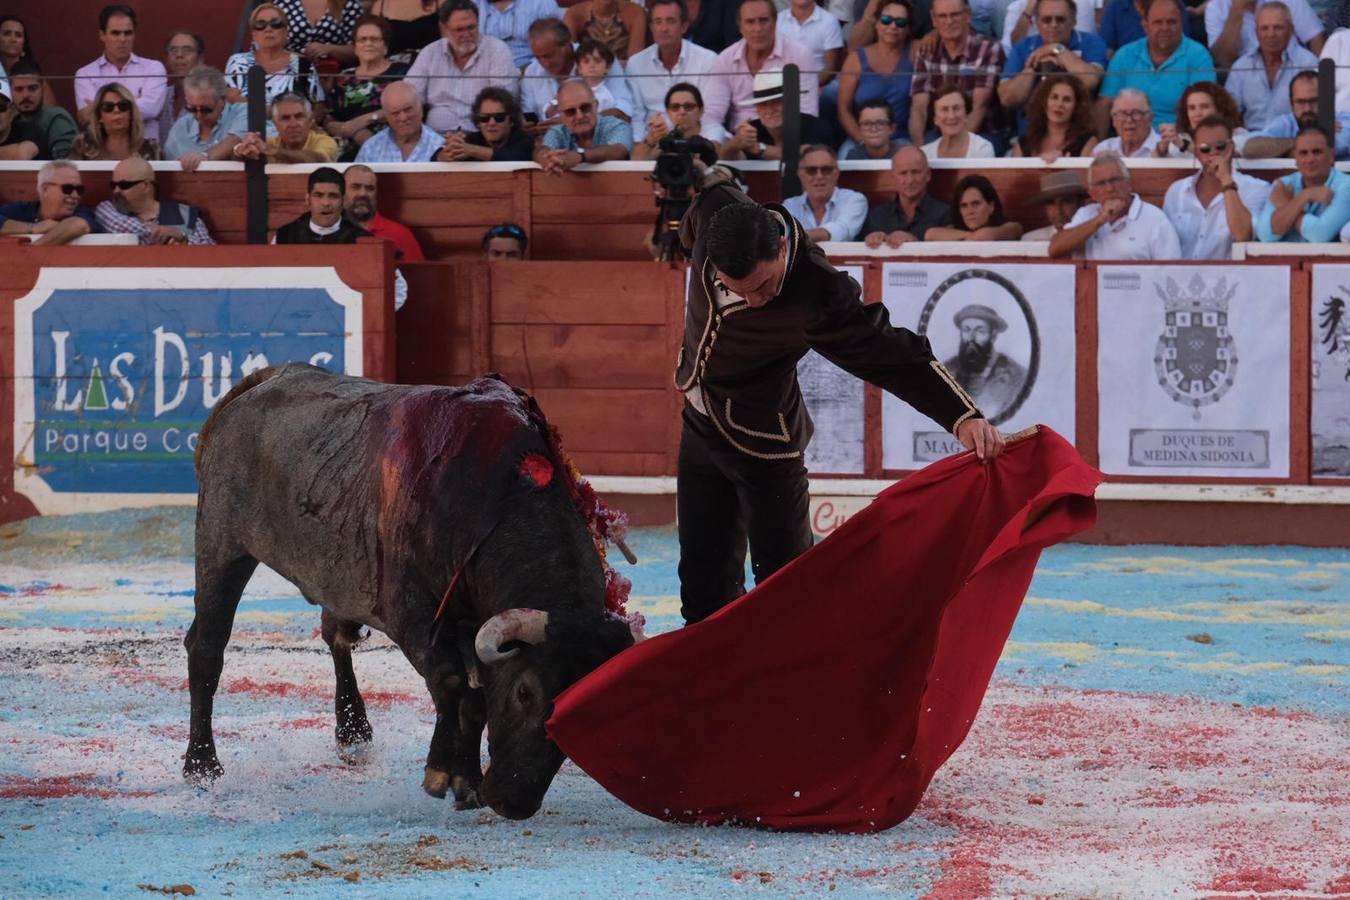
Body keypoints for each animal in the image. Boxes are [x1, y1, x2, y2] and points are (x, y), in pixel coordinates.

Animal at [184, 361, 642, 820]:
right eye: (524, 692)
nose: (514, 802)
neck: (495, 500)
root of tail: (265, 380)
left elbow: (475, 699)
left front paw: (467, 781)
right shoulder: (412, 614)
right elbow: (453, 682)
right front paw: (445, 772)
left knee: (335, 635)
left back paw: (353, 733)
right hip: (221, 544)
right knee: (207, 647)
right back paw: (202, 766)